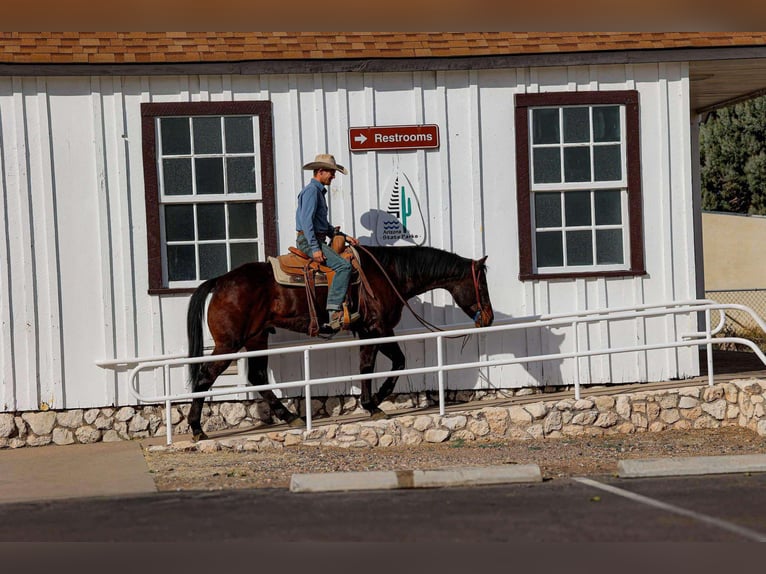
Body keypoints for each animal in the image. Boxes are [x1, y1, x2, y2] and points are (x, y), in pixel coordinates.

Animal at [189, 246, 496, 440]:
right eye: (481, 285)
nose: (489, 317)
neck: (388, 273)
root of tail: (221, 281)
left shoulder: (370, 331)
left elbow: (379, 364)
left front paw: (373, 401)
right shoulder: (377, 328)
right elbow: (382, 365)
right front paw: (374, 404)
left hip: (256, 338)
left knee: (257, 376)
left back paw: (289, 416)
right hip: (229, 344)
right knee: (205, 377)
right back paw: (196, 429)